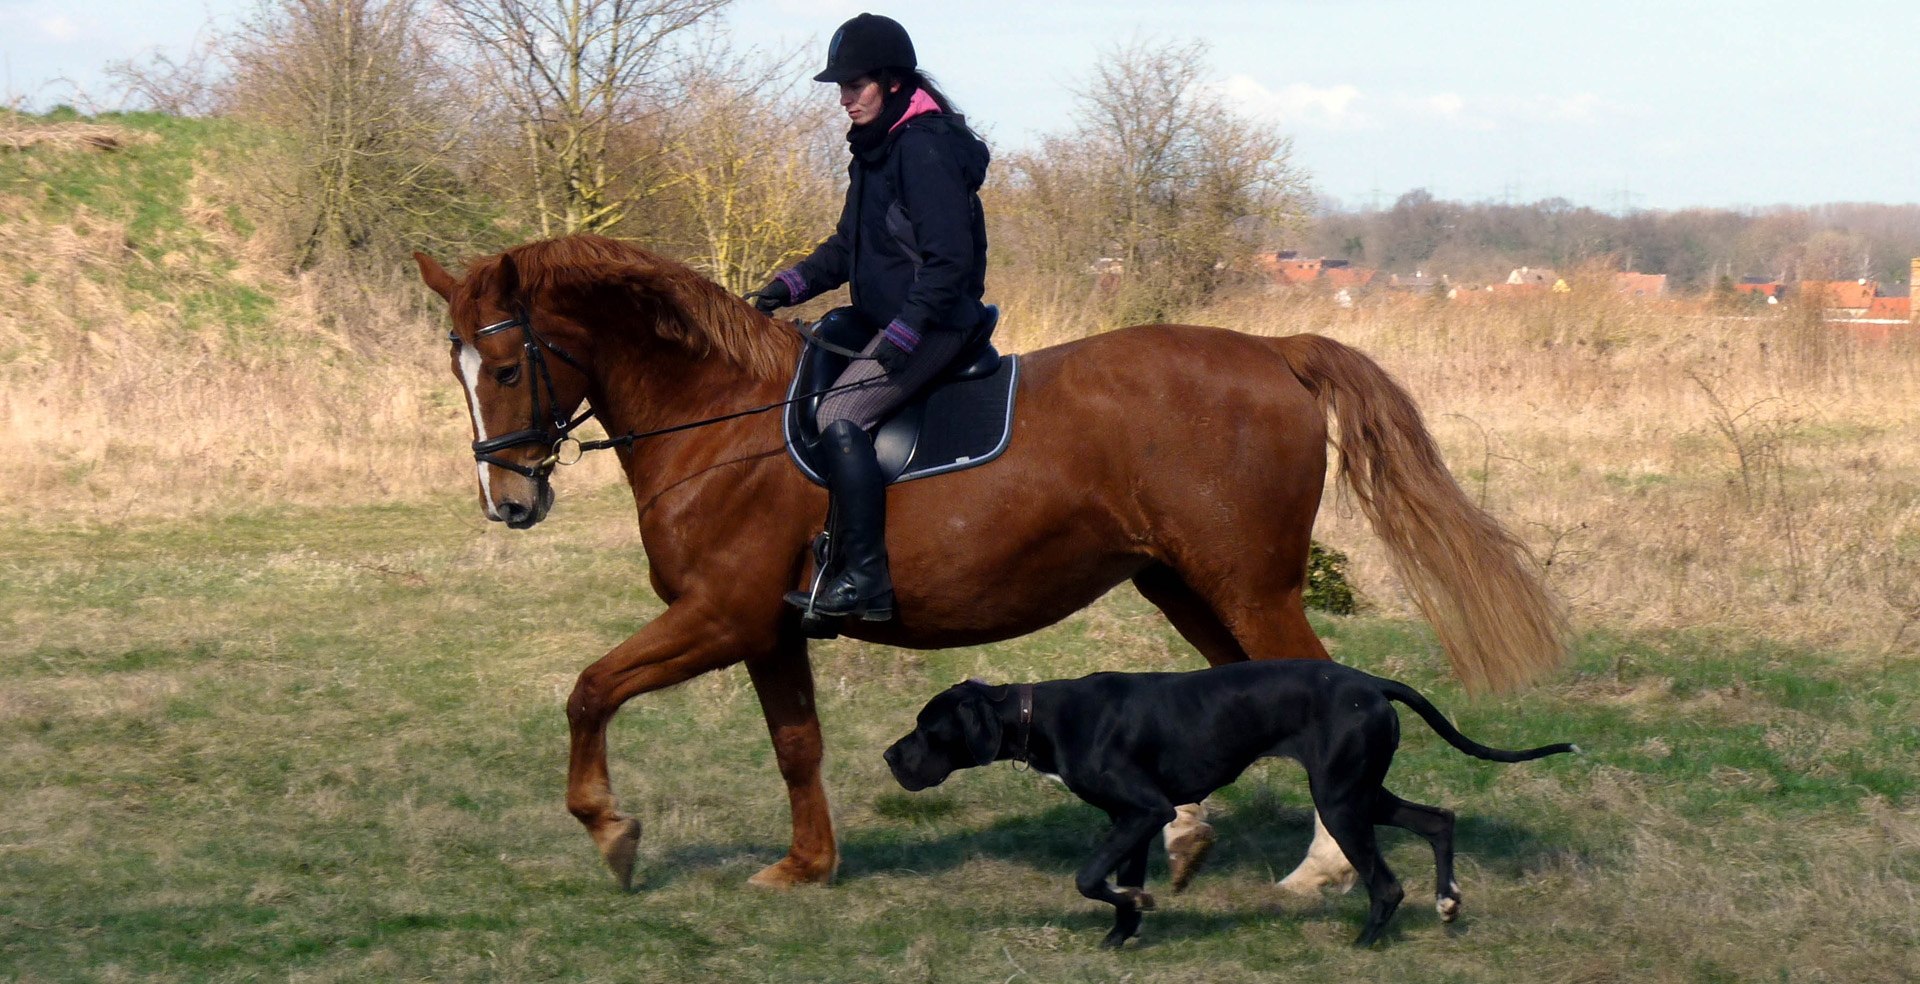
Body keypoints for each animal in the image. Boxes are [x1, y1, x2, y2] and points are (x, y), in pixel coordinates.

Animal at [412, 236, 1566, 891]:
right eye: (457, 369)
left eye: (506, 366)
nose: (509, 503)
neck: (719, 420)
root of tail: (1272, 352)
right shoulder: (771, 629)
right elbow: (796, 745)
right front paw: (807, 866)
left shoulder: (721, 617)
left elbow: (589, 689)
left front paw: (611, 831)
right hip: (1183, 582)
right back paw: (1187, 836)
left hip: (1249, 585)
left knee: (1318, 686)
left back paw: (1317, 869)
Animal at [883, 661, 1574, 945]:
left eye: (925, 727)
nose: (890, 757)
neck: (1039, 714)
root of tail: (1372, 684)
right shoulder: (1131, 822)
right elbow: (1119, 886)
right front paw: (1120, 936)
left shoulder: (1145, 811)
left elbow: (1086, 877)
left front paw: (1132, 911)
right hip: (1360, 793)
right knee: (1438, 820)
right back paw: (1447, 901)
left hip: (1342, 804)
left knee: (1386, 883)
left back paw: (1366, 944)